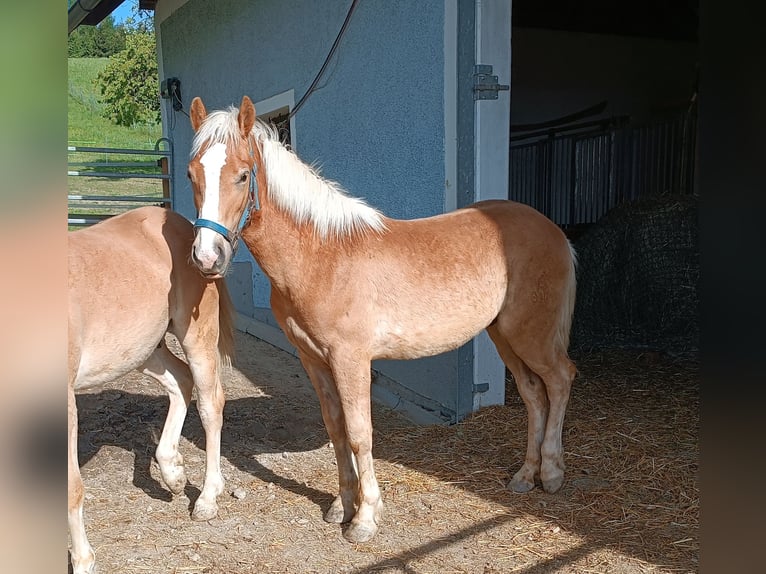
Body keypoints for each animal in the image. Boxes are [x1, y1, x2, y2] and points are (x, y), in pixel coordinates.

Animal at [69, 205, 237, 572]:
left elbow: (71, 487)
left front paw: (84, 561)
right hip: (143, 350)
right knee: (181, 381)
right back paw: (172, 472)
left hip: (195, 337)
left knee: (209, 403)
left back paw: (207, 498)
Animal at [189, 97, 580, 548]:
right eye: (192, 173)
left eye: (242, 175)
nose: (207, 257)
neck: (322, 255)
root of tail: (554, 232)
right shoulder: (314, 359)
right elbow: (336, 429)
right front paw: (341, 506)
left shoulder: (351, 359)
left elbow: (360, 434)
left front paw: (365, 519)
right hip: (503, 335)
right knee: (534, 394)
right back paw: (525, 476)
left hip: (530, 335)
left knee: (560, 380)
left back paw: (552, 473)